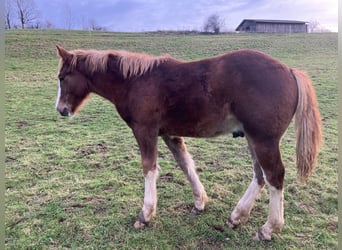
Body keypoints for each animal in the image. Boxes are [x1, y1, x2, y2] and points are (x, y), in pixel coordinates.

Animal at [54, 45, 322, 240]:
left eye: (62, 77)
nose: (61, 110)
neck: (134, 81)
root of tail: (290, 71)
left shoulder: (145, 131)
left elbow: (149, 168)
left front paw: (145, 215)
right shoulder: (169, 134)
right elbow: (186, 164)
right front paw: (200, 203)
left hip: (263, 140)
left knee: (274, 175)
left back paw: (268, 229)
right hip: (253, 138)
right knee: (260, 175)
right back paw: (237, 216)